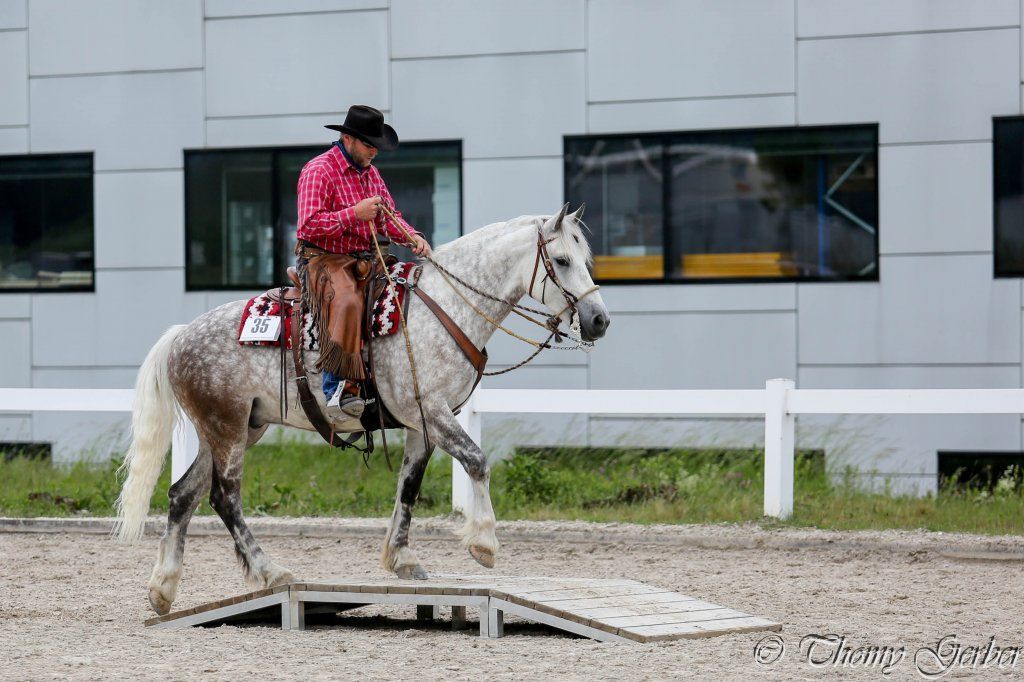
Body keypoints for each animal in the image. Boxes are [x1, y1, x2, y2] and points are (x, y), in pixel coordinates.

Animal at [114, 204, 610, 615]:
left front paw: (402, 558)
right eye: (561, 261)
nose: (599, 320)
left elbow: (409, 487)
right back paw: (270, 572)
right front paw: (484, 543)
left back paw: (163, 589)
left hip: (234, 429)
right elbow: (477, 461)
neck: (446, 309)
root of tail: (180, 335)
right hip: (227, 428)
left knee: (183, 495)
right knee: (224, 496)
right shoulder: (433, 411)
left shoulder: (421, 424)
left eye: (584, 259)